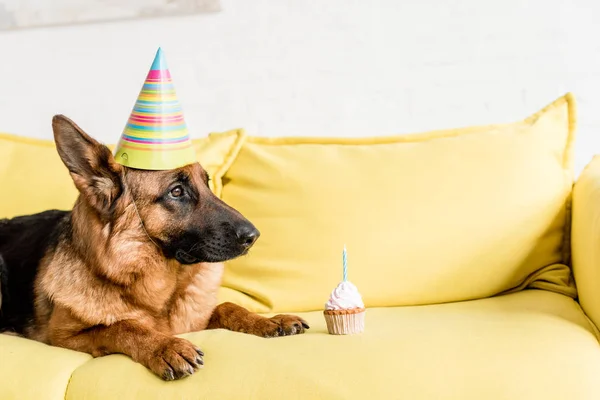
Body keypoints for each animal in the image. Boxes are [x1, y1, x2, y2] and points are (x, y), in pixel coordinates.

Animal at [0, 116, 310, 382]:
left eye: (207, 183)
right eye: (176, 192)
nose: (254, 236)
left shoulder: (195, 318)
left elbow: (228, 306)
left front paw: (268, 321)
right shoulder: (63, 337)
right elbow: (122, 325)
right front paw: (165, 347)